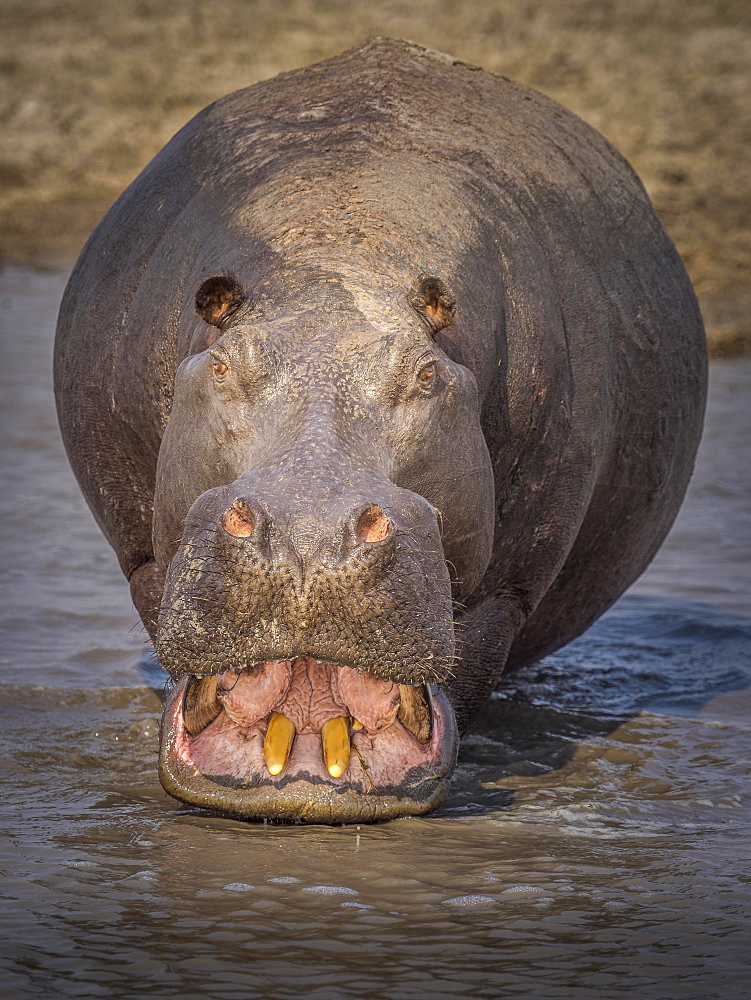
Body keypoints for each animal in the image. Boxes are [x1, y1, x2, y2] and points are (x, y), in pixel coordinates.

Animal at [53, 37, 704, 820]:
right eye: (225, 363)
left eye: (424, 374)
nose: (307, 532)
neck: (341, 250)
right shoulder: (142, 556)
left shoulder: (508, 589)